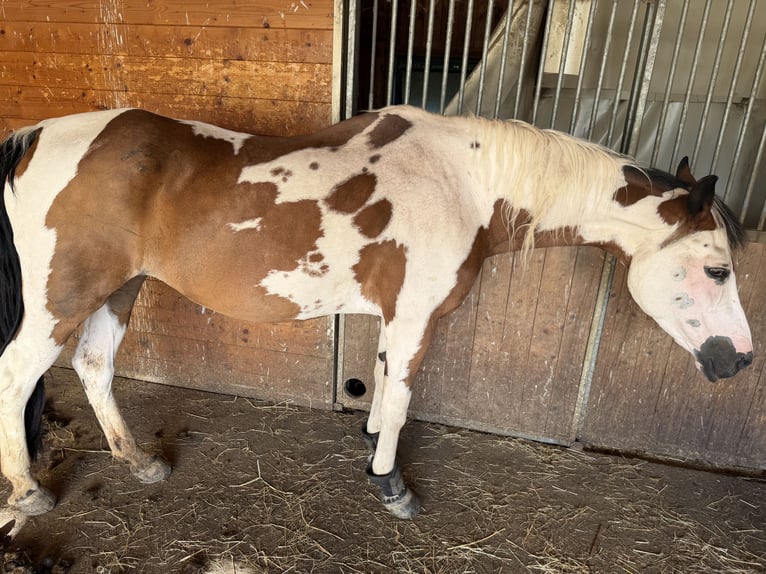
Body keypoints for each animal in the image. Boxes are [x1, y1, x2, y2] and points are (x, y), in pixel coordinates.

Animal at [0, 105, 753, 521]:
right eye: (718, 268)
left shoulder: (397, 316)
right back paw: (29, 492)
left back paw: (139, 463)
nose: (738, 360)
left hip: (118, 288)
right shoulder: (419, 316)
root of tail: (36, 137)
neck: (465, 183)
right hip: (64, 297)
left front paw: (369, 446)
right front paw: (391, 485)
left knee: (94, 366)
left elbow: (384, 381)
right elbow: (400, 399)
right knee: (16, 374)